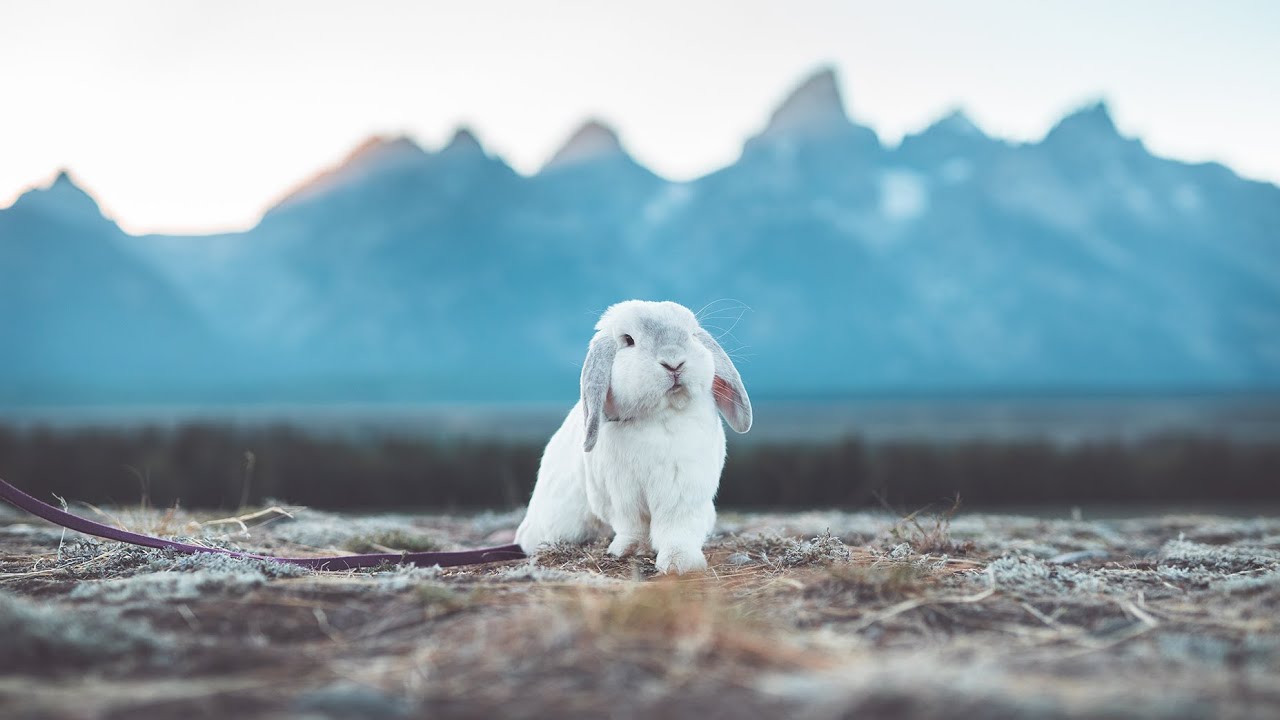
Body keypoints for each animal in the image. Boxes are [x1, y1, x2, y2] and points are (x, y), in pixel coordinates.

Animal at [515, 300, 751, 574]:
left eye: (692, 335)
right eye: (628, 340)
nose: (674, 363)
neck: (658, 417)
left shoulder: (683, 493)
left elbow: (677, 528)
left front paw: (679, 563)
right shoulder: (621, 496)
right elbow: (633, 526)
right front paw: (629, 549)